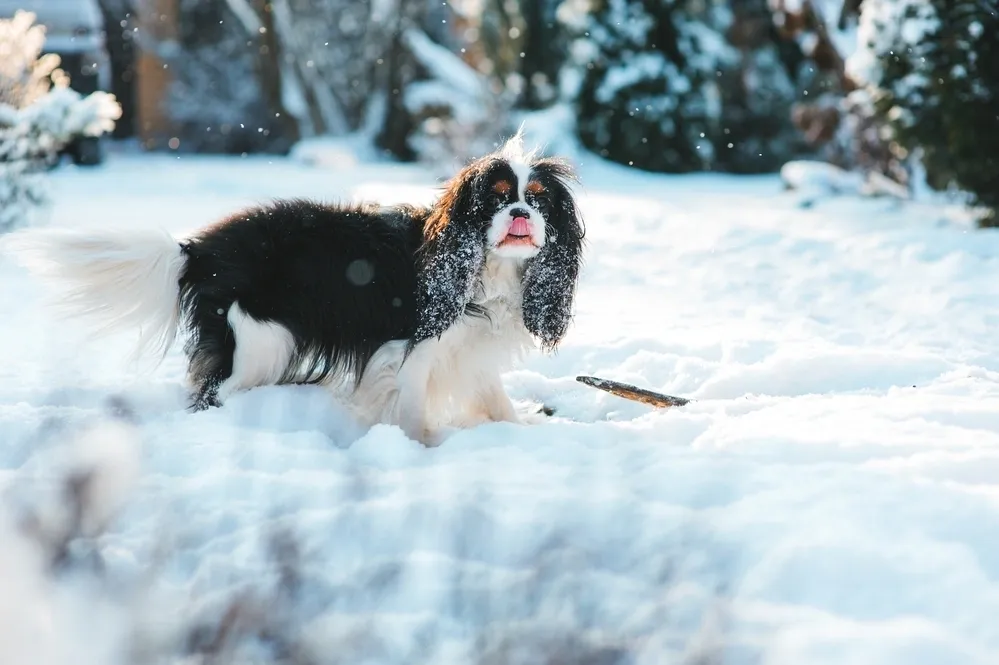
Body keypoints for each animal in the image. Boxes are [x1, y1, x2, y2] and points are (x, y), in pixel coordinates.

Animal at [3, 134, 584, 446]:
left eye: (538, 200)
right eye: (497, 198)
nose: (520, 213)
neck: (482, 267)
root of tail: (198, 249)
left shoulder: (467, 351)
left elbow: (495, 399)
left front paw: (520, 428)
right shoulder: (414, 351)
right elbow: (413, 409)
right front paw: (421, 448)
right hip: (261, 342)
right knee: (214, 394)